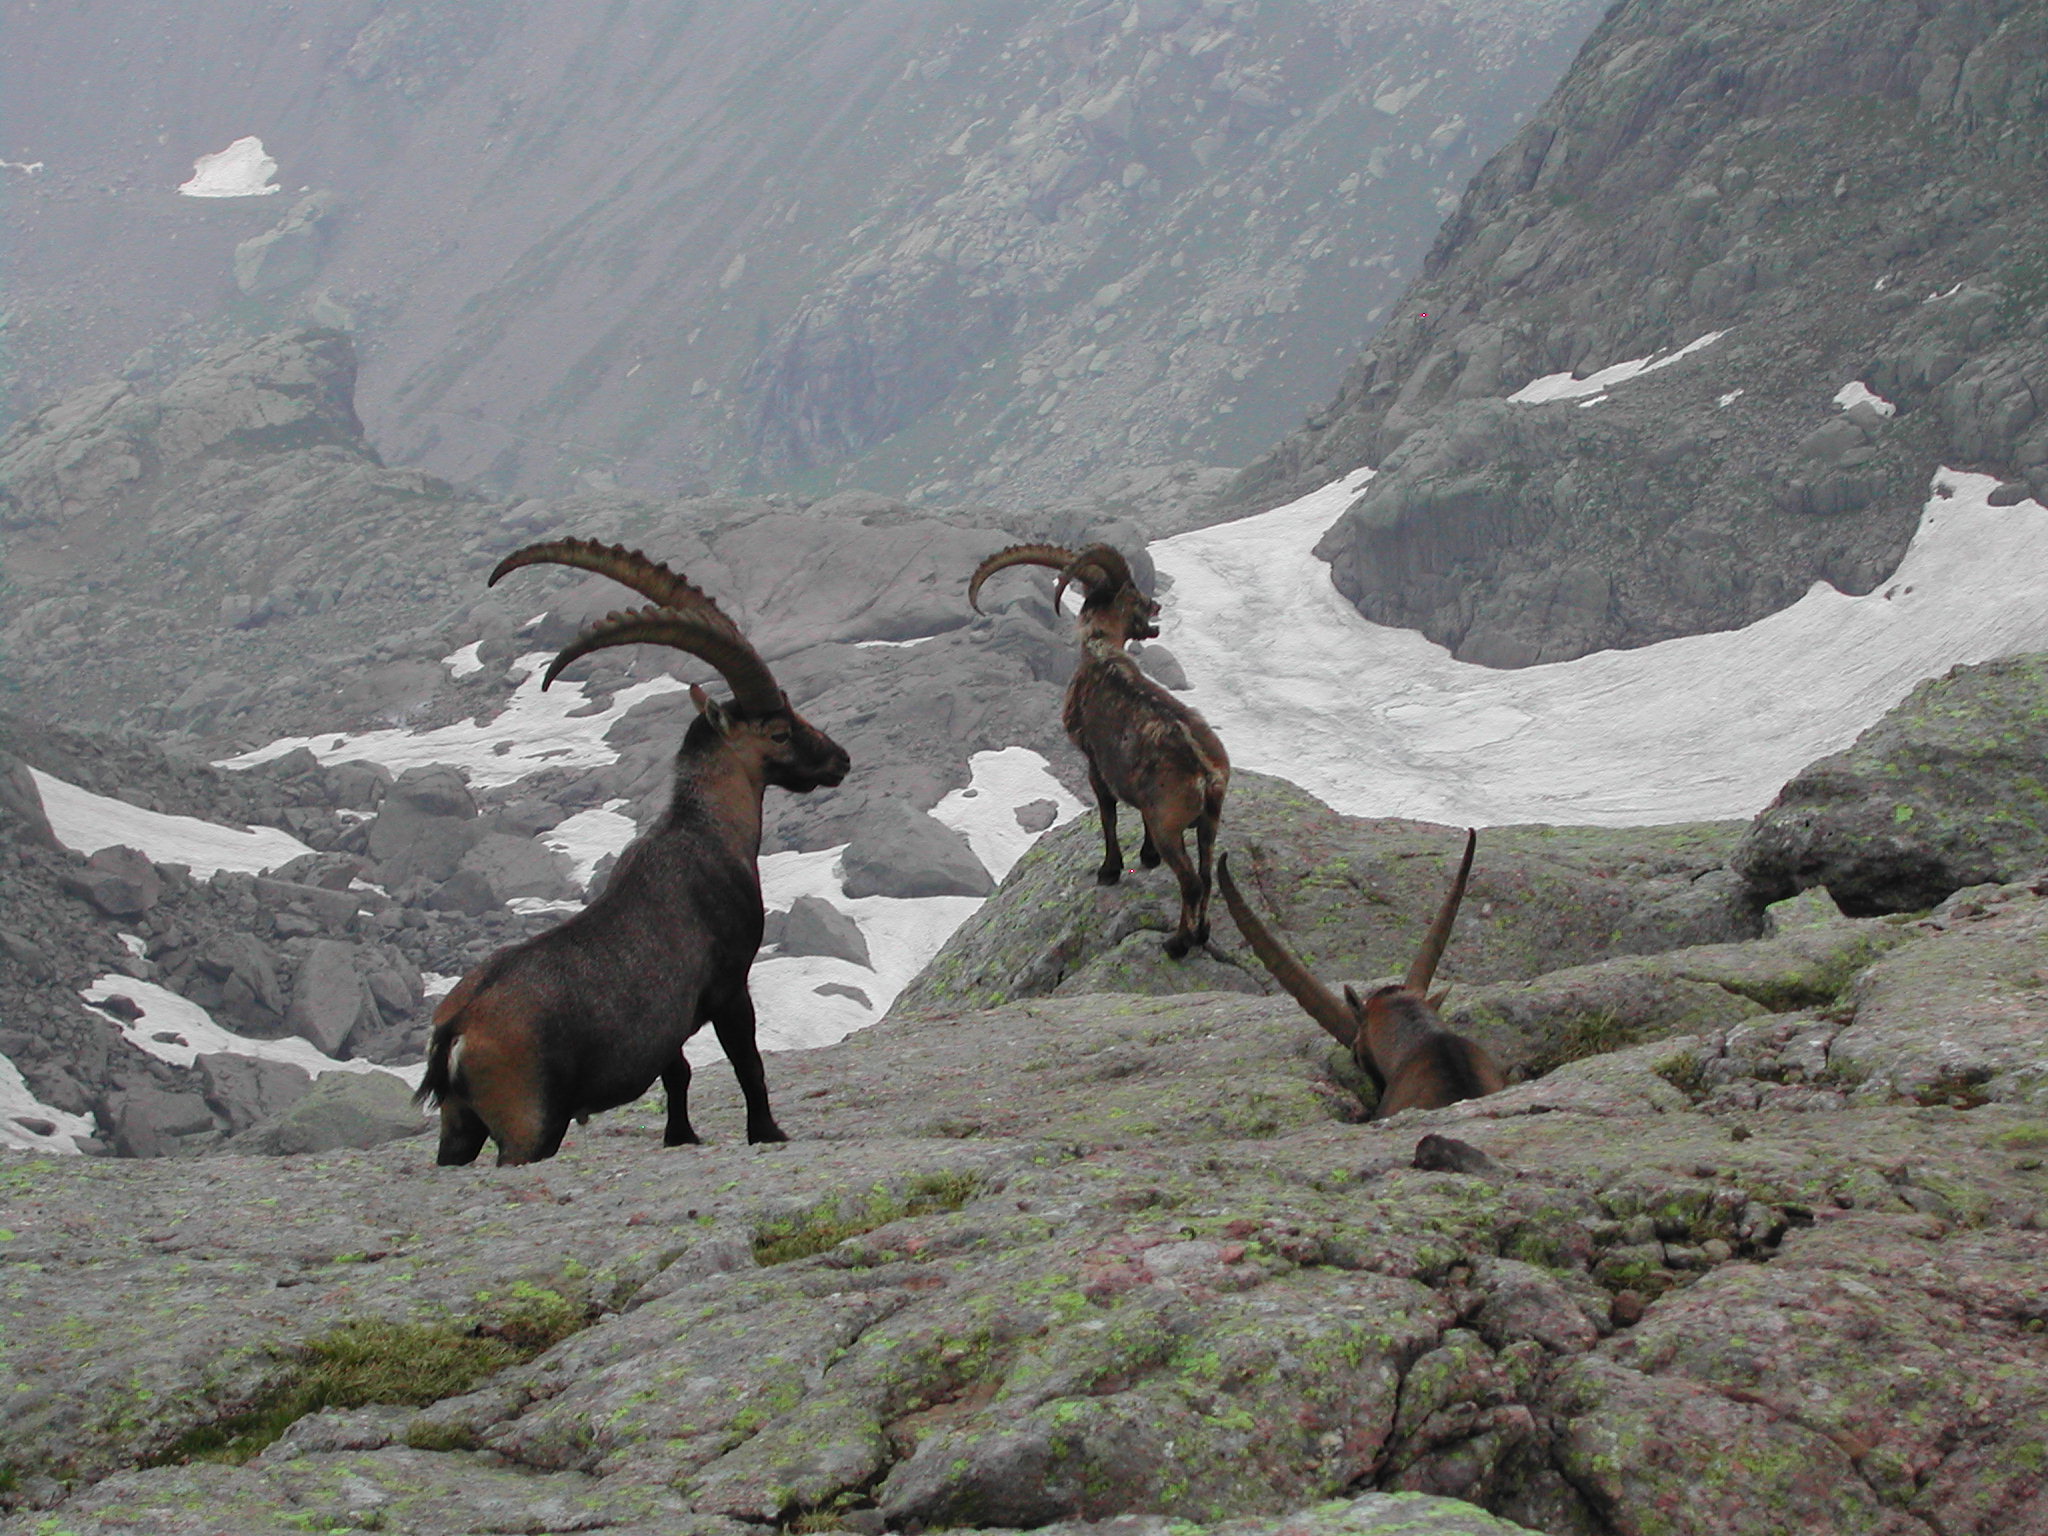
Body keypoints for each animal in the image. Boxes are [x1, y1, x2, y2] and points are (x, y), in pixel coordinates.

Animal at [415, 539, 850, 1165]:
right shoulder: (729, 985)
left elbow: (678, 1074)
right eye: (779, 731)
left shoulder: (667, 1022)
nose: (840, 759)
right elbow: (748, 1065)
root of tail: (458, 1030)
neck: (705, 831)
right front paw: (768, 1132)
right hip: (529, 1125)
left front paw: (681, 1136)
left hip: (460, 1126)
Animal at [969, 542, 1229, 958]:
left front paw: (1109, 870)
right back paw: (1202, 933)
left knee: (1190, 881)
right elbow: (1135, 815)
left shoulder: (1094, 762)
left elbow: (1108, 815)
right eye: (1137, 598)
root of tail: (1206, 772)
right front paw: (1146, 856)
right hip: (1209, 821)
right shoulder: (1134, 783)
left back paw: (1178, 943)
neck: (1101, 652)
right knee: (1207, 875)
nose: (1155, 605)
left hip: (1170, 823)